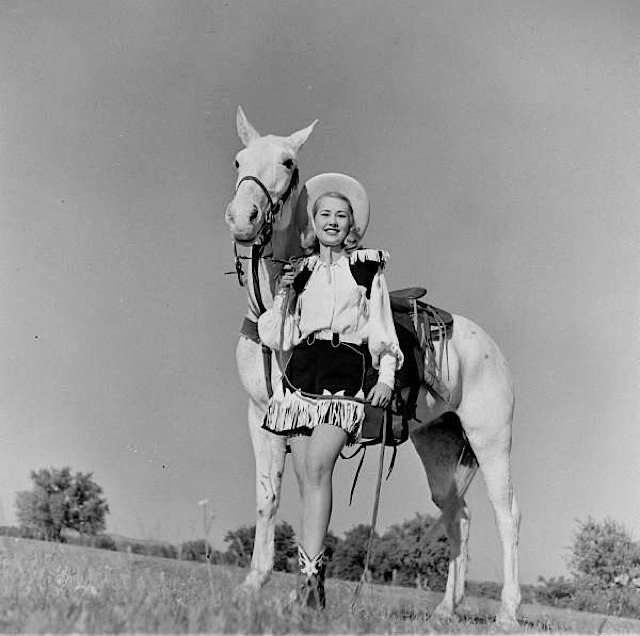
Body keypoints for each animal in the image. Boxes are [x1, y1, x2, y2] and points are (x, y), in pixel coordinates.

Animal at [224, 108, 520, 628]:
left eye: (288, 162)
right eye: (239, 159)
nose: (243, 218)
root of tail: (490, 347)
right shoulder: (264, 416)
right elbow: (269, 498)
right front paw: (255, 586)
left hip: (491, 439)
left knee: (507, 513)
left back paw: (508, 612)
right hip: (438, 446)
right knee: (458, 515)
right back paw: (446, 608)